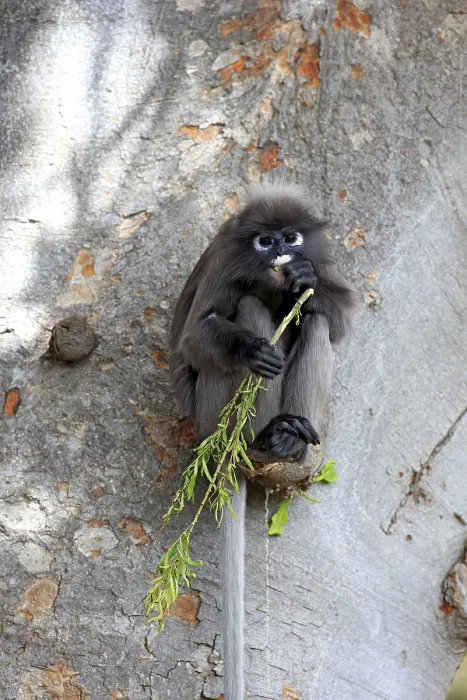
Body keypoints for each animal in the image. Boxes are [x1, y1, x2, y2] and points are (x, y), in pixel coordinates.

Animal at [169, 184, 355, 700]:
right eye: (263, 241)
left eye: (291, 237)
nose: (279, 254)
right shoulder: (226, 258)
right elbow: (195, 335)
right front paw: (250, 348)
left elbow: (336, 317)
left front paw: (303, 278)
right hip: (211, 411)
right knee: (248, 307)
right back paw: (261, 435)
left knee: (315, 321)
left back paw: (290, 433)